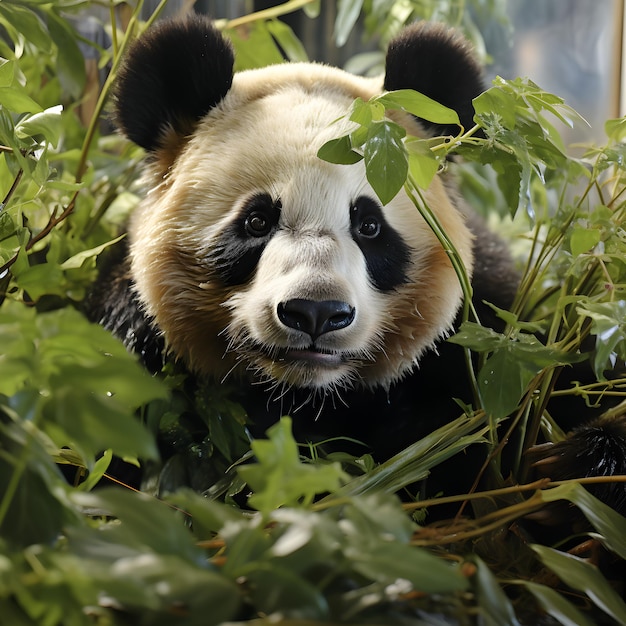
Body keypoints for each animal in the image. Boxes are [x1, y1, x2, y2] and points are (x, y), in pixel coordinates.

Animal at [89, 13, 624, 512]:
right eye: (257, 222)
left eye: (369, 226)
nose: (316, 312)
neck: (311, 394)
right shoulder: (133, 337)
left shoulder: (487, 332)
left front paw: (583, 462)